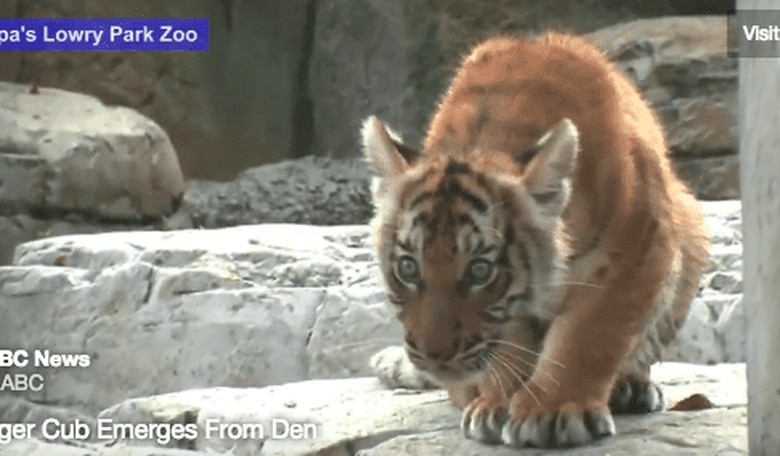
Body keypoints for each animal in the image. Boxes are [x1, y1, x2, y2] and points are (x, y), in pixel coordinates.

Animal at [361, 32, 709, 449]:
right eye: (408, 267)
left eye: (480, 271)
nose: (434, 357)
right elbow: (509, 340)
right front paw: (497, 405)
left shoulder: (635, 247)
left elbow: (588, 334)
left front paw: (551, 413)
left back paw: (629, 387)